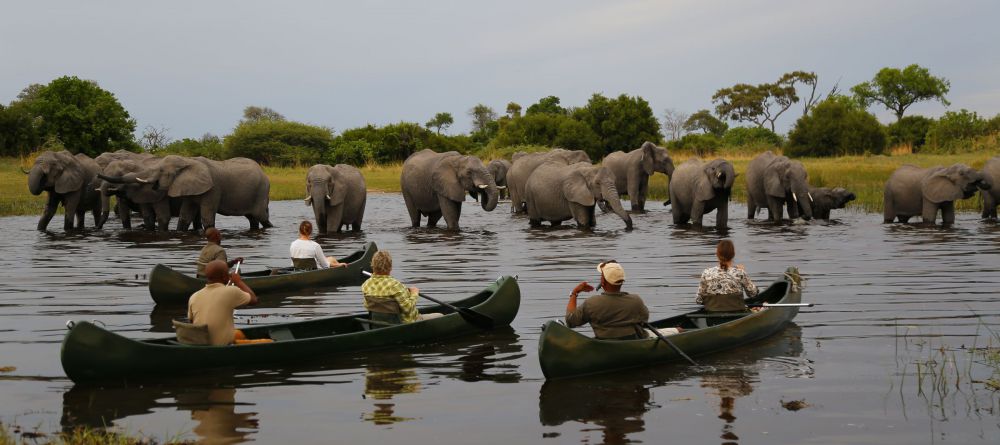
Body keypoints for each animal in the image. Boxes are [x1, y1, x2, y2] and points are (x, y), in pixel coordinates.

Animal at [99, 154, 272, 229]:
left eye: (161, 170)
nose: (98, 175)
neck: (187, 162)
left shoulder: (213, 188)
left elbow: (207, 218)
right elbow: (184, 216)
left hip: (261, 191)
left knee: (261, 217)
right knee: (253, 218)